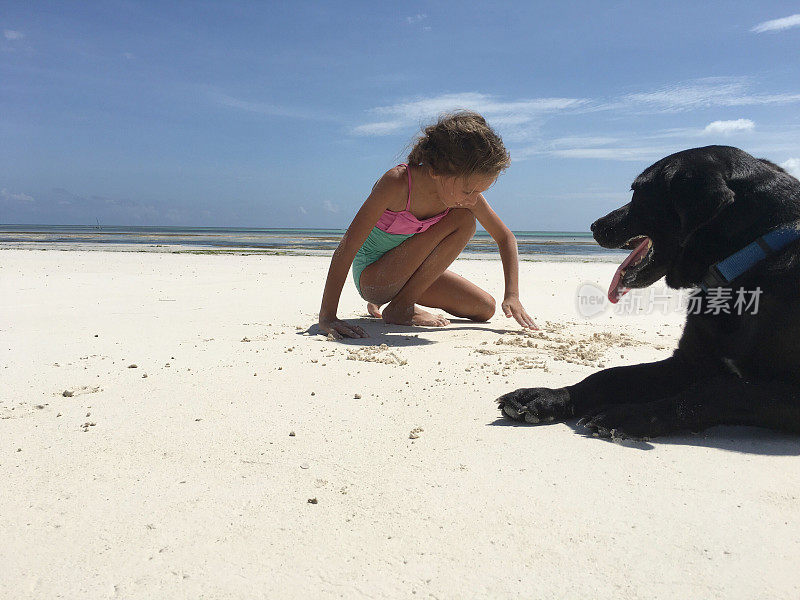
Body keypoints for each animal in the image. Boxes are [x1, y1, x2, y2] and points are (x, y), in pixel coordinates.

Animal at [496, 144, 800, 438]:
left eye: (637, 191)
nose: (594, 225)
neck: (743, 263)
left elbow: (718, 391)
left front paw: (630, 414)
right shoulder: (688, 362)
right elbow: (610, 376)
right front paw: (547, 398)